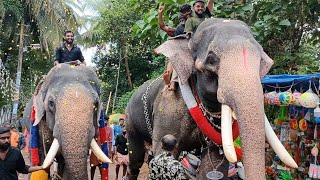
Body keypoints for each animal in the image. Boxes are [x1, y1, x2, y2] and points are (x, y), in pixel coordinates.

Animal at [125, 17, 298, 179]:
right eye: (211, 60)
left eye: (263, 63)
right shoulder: (168, 110)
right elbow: (165, 149)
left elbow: (213, 163)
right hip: (130, 119)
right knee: (136, 158)